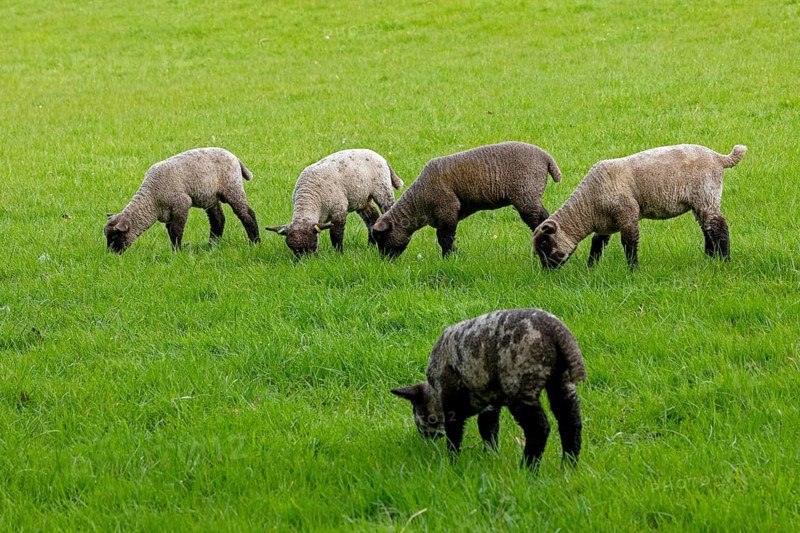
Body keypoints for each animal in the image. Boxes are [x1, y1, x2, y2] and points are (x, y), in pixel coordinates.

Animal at [104, 148, 260, 253]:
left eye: (115, 236)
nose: (111, 254)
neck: (152, 198)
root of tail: (234, 157)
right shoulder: (168, 214)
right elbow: (171, 232)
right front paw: (175, 249)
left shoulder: (181, 205)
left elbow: (177, 230)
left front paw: (177, 252)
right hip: (211, 196)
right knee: (218, 220)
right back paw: (212, 245)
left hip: (232, 188)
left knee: (247, 214)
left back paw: (255, 242)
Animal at [264, 149, 403, 257]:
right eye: (293, 250)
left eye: (312, 244)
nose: (305, 262)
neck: (308, 196)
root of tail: (381, 157)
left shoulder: (338, 210)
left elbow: (336, 234)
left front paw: (338, 254)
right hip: (361, 198)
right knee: (372, 217)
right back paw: (370, 245)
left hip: (382, 189)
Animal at [370, 142, 562, 258]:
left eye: (382, 238)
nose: (385, 260)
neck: (418, 203)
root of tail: (546, 158)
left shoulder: (447, 210)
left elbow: (444, 238)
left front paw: (450, 256)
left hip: (526, 195)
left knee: (540, 218)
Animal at [391, 309, 587, 469]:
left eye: (422, 419)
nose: (425, 439)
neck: (434, 390)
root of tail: (557, 332)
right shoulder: (489, 402)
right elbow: (488, 428)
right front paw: (491, 455)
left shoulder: (452, 402)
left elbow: (455, 433)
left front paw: (453, 462)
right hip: (561, 382)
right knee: (571, 422)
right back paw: (568, 466)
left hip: (520, 383)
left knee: (539, 428)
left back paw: (528, 469)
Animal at [533, 144, 747, 269]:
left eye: (544, 244)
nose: (547, 272)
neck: (588, 207)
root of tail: (718, 157)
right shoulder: (606, 223)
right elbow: (597, 245)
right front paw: (591, 268)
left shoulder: (627, 214)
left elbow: (629, 242)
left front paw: (632, 270)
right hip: (700, 202)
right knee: (707, 229)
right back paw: (710, 257)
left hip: (706, 195)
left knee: (719, 227)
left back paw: (724, 261)